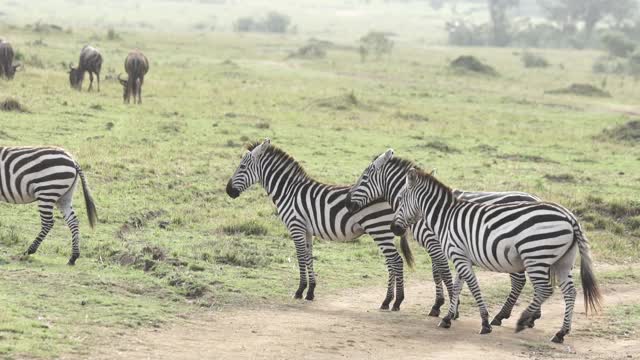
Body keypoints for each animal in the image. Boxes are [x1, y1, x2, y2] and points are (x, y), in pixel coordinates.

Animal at [228, 139, 412, 310]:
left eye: (242, 166)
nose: (228, 191)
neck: (288, 191)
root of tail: (395, 195)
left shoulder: (295, 226)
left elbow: (301, 256)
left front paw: (299, 291)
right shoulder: (307, 230)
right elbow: (309, 256)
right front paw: (310, 292)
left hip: (378, 229)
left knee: (396, 261)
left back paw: (394, 301)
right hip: (384, 232)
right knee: (391, 262)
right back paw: (388, 302)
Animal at [344, 148, 540, 324]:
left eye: (364, 177)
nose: (347, 203)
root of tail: (535, 198)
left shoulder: (434, 242)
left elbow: (444, 273)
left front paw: (451, 309)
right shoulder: (435, 245)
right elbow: (436, 272)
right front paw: (439, 305)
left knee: (519, 281)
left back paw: (501, 316)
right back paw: (531, 317)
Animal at [388, 165, 604, 342]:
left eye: (399, 200)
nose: (394, 229)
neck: (446, 217)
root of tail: (570, 217)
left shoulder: (458, 255)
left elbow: (473, 286)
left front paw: (484, 323)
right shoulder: (463, 257)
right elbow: (457, 287)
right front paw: (448, 317)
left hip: (535, 256)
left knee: (544, 289)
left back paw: (522, 321)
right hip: (563, 261)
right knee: (570, 292)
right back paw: (561, 333)